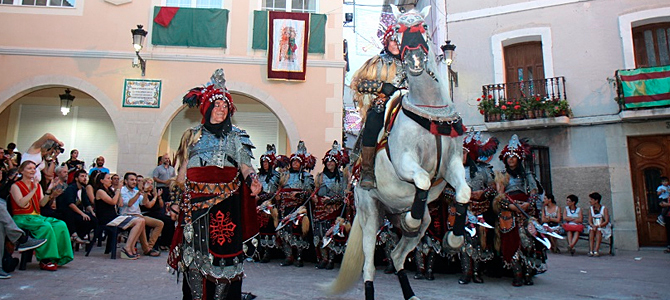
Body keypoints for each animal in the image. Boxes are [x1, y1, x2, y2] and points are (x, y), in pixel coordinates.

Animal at [326, 5, 472, 300]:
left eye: (423, 27)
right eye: (398, 30)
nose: (414, 58)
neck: (430, 111)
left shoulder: (453, 165)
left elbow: (464, 192)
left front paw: (454, 239)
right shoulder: (406, 162)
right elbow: (423, 180)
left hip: (414, 216)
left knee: (396, 255)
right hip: (370, 213)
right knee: (369, 265)